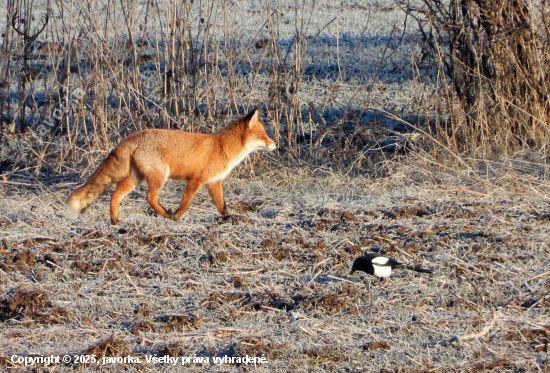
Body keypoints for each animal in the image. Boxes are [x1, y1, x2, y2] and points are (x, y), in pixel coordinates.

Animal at [67, 108, 278, 224]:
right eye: (262, 135)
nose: (275, 144)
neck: (222, 147)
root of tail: (132, 137)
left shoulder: (213, 182)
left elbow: (222, 207)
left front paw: (229, 219)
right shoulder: (195, 180)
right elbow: (185, 203)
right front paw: (177, 217)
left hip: (136, 179)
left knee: (115, 195)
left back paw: (115, 221)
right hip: (160, 176)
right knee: (150, 198)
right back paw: (166, 215)